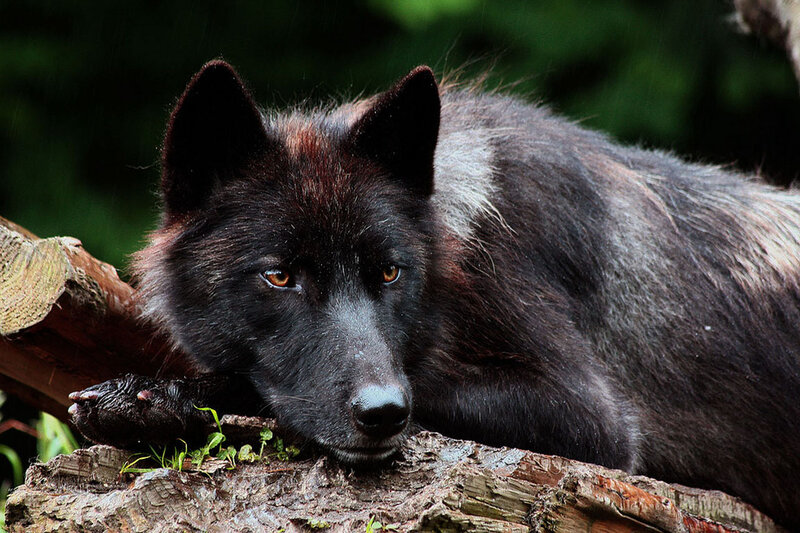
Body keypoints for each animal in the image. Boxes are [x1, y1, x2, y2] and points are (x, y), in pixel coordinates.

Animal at [69, 60, 800, 527]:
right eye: (280, 277)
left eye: (389, 273)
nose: (384, 413)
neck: (460, 244)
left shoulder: (595, 420)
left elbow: (259, 388)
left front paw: (155, 398)